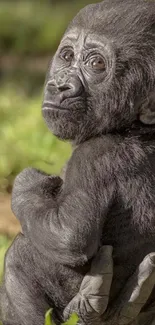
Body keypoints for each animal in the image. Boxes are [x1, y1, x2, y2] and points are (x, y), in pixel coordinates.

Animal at [1, 0, 155, 322]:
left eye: (96, 64)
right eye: (68, 56)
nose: (61, 85)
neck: (133, 126)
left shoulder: (94, 158)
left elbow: (70, 235)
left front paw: (29, 183)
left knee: (20, 259)